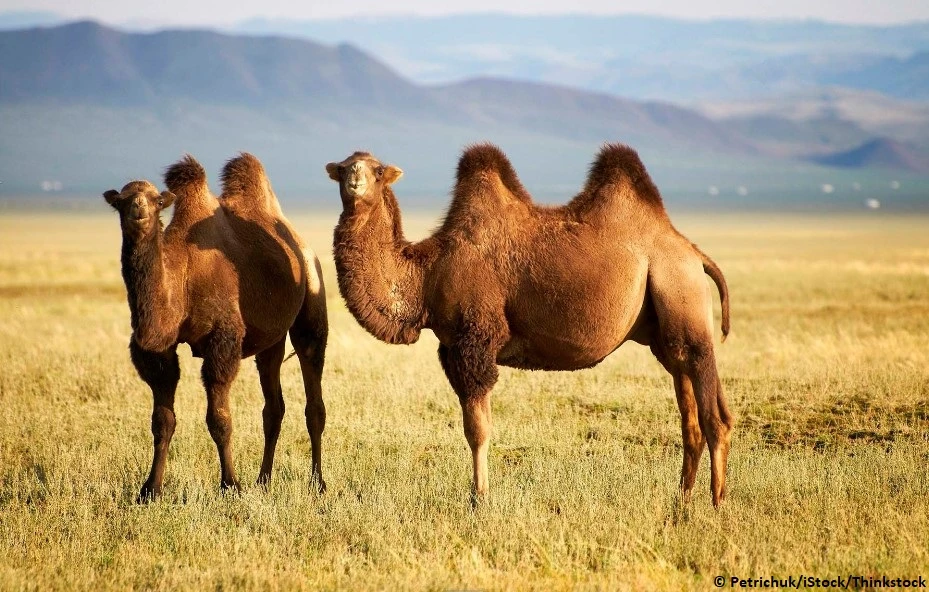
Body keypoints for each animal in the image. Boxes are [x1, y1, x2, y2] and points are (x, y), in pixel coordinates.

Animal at [104, 153, 328, 502]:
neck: (182, 276)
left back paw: (317, 483)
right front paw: (150, 490)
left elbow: (219, 419)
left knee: (313, 397)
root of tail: (302, 246)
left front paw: (230, 485)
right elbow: (162, 421)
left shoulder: (222, 340)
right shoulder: (159, 350)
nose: (138, 209)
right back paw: (263, 481)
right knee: (273, 407)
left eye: (157, 200)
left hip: (312, 301)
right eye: (121, 200)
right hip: (271, 339)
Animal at [326, 143, 733, 507]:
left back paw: (716, 505)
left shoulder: (475, 340)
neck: (427, 274)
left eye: (378, 169)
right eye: (343, 167)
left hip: (680, 292)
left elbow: (477, 430)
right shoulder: (451, 347)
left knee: (715, 417)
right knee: (689, 416)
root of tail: (694, 253)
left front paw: (479, 499)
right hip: (666, 332)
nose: (355, 179)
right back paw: (682, 501)